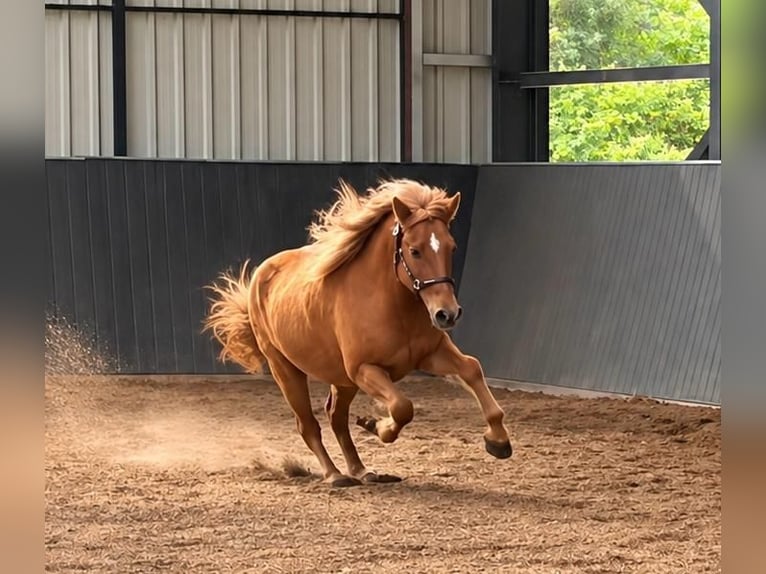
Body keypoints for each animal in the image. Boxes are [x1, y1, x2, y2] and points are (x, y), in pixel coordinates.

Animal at [203, 178, 512, 487]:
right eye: (415, 250)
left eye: (452, 247)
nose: (447, 314)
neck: (392, 305)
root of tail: (260, 275)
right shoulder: (364, 369)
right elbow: (402, 406)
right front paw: (376, 425)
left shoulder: (431, 355)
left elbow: (471, 369)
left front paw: (498, 442)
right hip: (287, 370)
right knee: (308, 425)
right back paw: (335, 475)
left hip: (341, 380)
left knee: (336, 418)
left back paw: (362, 470)